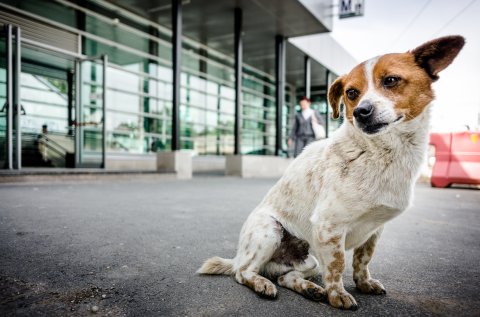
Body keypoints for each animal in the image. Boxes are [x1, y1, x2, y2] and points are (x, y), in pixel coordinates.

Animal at [197, 35, 464, 308]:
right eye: (351, 93)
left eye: (391, 80)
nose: (361, 112)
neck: (382, 153)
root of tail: (239, 256)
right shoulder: (329, 226)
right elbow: (337, 265)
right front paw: (338, 296)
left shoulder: (374, 230)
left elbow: (362, 260)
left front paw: (364, 283)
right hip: (270, 232)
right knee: (243, 273)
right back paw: (263, 284)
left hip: (309, 260)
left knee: (286, 276)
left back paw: (309, 289)